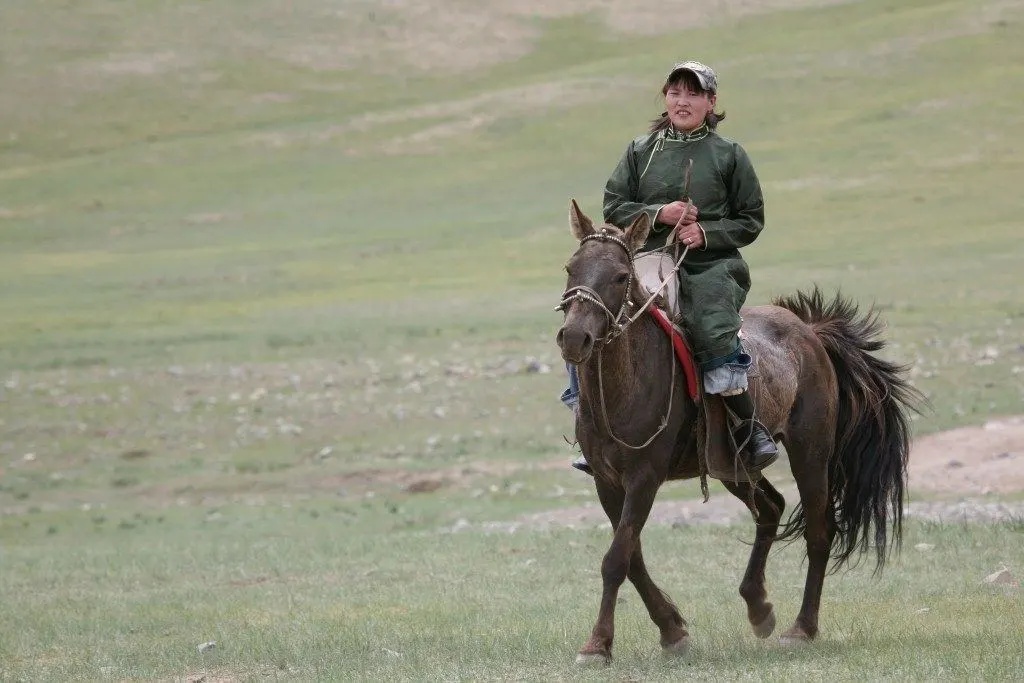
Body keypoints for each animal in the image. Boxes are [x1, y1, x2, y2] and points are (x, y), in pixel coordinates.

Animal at [554, 199, 922, 664]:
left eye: (621, 276)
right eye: (571, 268)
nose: (574, 338)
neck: (623, 385)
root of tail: (810, 331)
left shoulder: (644, 477)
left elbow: (616, 559)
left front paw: (598, 645)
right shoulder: (606, 481)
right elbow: (631, 557)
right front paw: (672, 630)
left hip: (810, 453)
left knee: (819, 531)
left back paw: (801, 628)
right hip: (731, 463)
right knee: (771, 507)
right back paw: (758, 607)